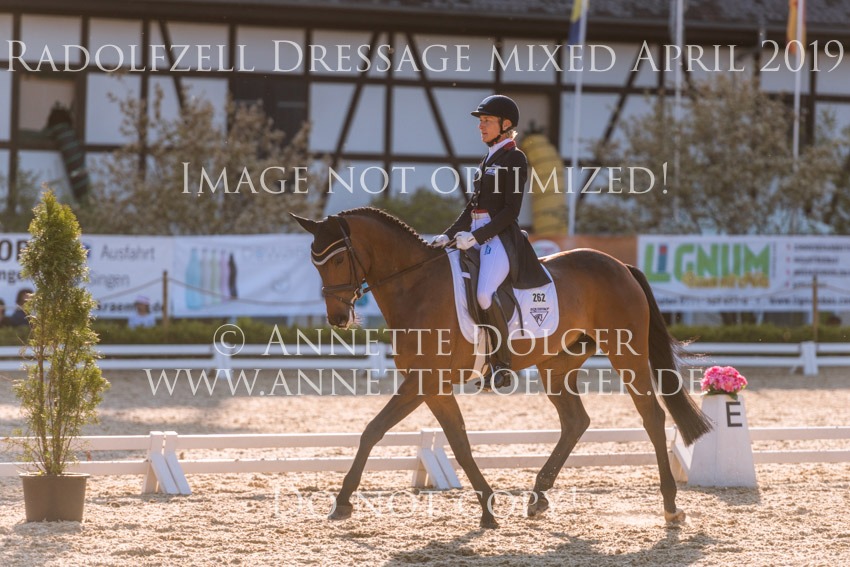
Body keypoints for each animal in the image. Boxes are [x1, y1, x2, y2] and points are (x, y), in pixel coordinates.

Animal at [291, 207, 712, 529]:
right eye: (315, 262)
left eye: (338, 259)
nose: (337, 318)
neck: (416, 287)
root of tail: (621, 265)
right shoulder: (434, 387)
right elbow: (456, 444)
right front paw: (488, 509)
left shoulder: (423, 382)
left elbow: (373, 430)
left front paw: (343, 502)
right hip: (557, 364)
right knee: (576, 420)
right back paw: (538, 497)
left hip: (627, 354)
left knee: (652, 416)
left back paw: (671, 507)